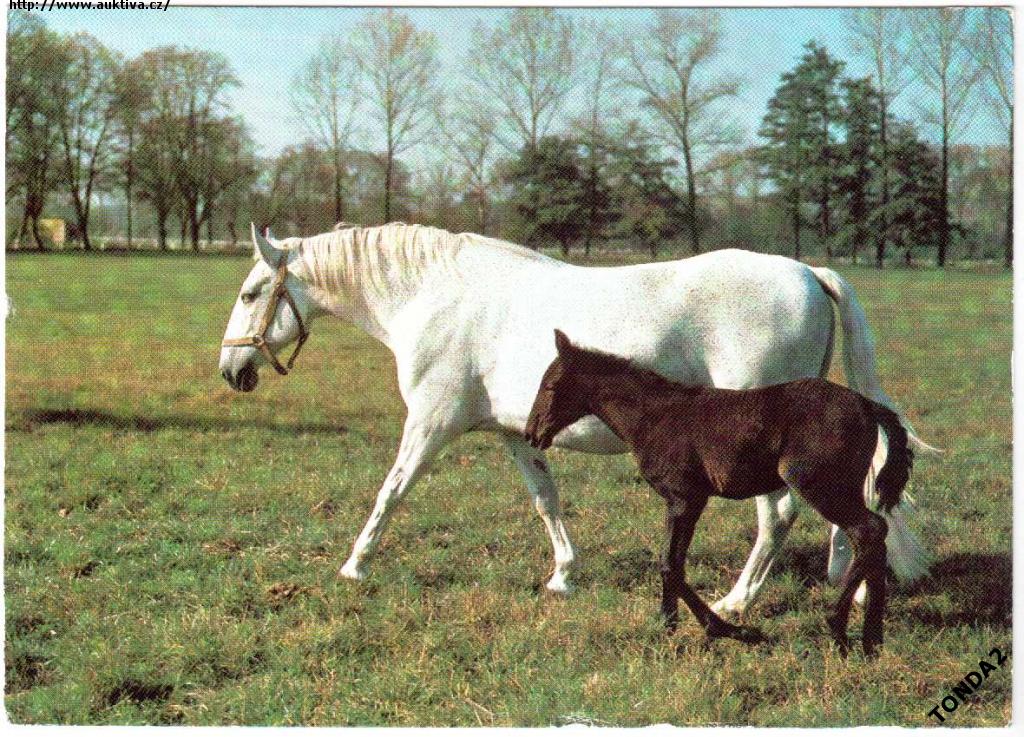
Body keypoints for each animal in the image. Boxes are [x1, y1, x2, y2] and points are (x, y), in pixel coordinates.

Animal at [220, 222, 933, 614]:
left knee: (779, 516)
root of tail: (806, 271)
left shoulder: (430, 424)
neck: (434, 297)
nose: (232, 371)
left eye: (251, 293)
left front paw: (354, 566)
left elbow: (390, 493)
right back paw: (851, 587)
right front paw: (563, 575)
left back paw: (737, 601)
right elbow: (547, 501)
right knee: (845, 513)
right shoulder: (516, 434)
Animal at [528, 329, 913, 655]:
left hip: (819, 486)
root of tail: (867, 406)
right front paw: (667, 624)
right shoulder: (679, 502)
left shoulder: (686, 498)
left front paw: (732, 630)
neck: (655, 416)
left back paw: (838, 629)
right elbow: (670, 562)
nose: (533, 433)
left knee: (869, 530)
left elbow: (671, 564)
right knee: (875, 535)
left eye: (550, 387)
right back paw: (872, 641)